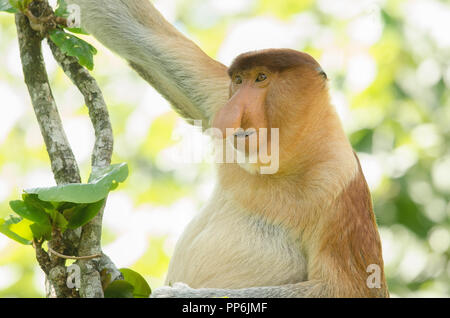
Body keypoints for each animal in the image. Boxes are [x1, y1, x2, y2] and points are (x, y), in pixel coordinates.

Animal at [68, 0, 388, 298]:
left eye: (261, 78)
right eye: (238, 80)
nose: (228, 114)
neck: (282, 160)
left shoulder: (338, 183)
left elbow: (348, 288)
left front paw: (175, 293)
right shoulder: (219, 96)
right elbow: (145, 34)